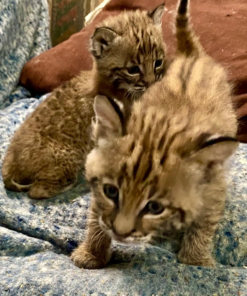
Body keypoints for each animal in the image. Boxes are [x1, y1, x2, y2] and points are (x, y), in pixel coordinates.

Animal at [1, 5, 166, 199]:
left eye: (158, 62)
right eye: (133, 69)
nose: (152, 84)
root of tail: (8, 163)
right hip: (68, 156)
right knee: (36, 191)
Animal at [72, 0, 239, 268]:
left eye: (154, 207)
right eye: (111, 192)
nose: (120, 233)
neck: (163, 126)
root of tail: (191, 55)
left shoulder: (214, 184)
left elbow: (205, 219)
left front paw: (195, 261)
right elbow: (97, 213)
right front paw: (92, 253)